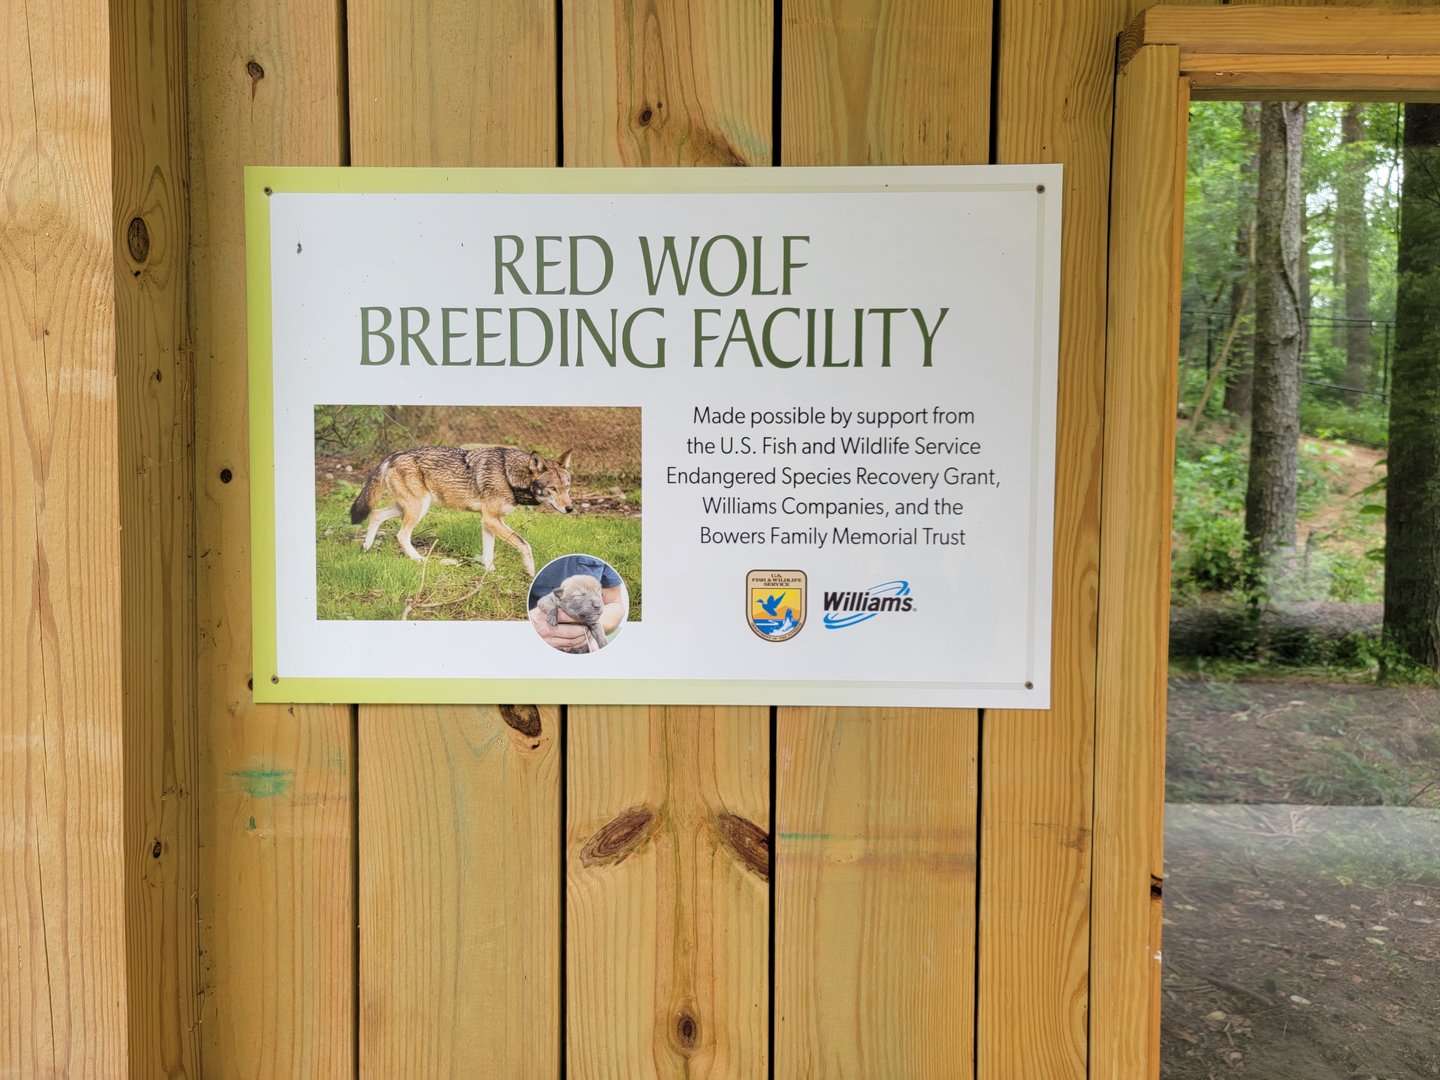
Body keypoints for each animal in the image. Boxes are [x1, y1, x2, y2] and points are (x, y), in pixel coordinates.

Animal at [349, 446, 573, 576]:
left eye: (567, 487)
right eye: (553, 489)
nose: (570, 508)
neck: (509, 476)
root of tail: (393, 454)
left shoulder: (488, 521)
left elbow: (488, 554)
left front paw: (488, 573)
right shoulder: (491, 519)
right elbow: (524, 544)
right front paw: (530, 572)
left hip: (408, 508)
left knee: (376, 514)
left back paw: (366, 547)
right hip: (417, 509)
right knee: (401, 535)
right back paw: (419, 560)